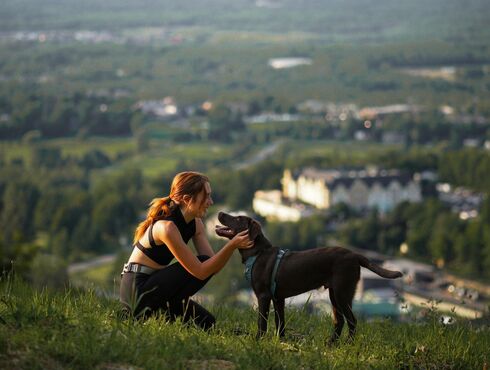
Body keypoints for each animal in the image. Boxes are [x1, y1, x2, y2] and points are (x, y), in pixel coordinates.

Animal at [216, 211, 404, 344]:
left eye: (238, 218)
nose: (220, 212)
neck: (258, 252)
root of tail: (354, 255)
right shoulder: (278, 298)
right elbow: (280, 322)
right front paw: (281, 341)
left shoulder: (263, 296)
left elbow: (261, 322)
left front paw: (258, 340)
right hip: (334, 294)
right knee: (339, 320)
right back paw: (331, 343)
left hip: (343, 292)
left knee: (352, 320)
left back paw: (348, 343)